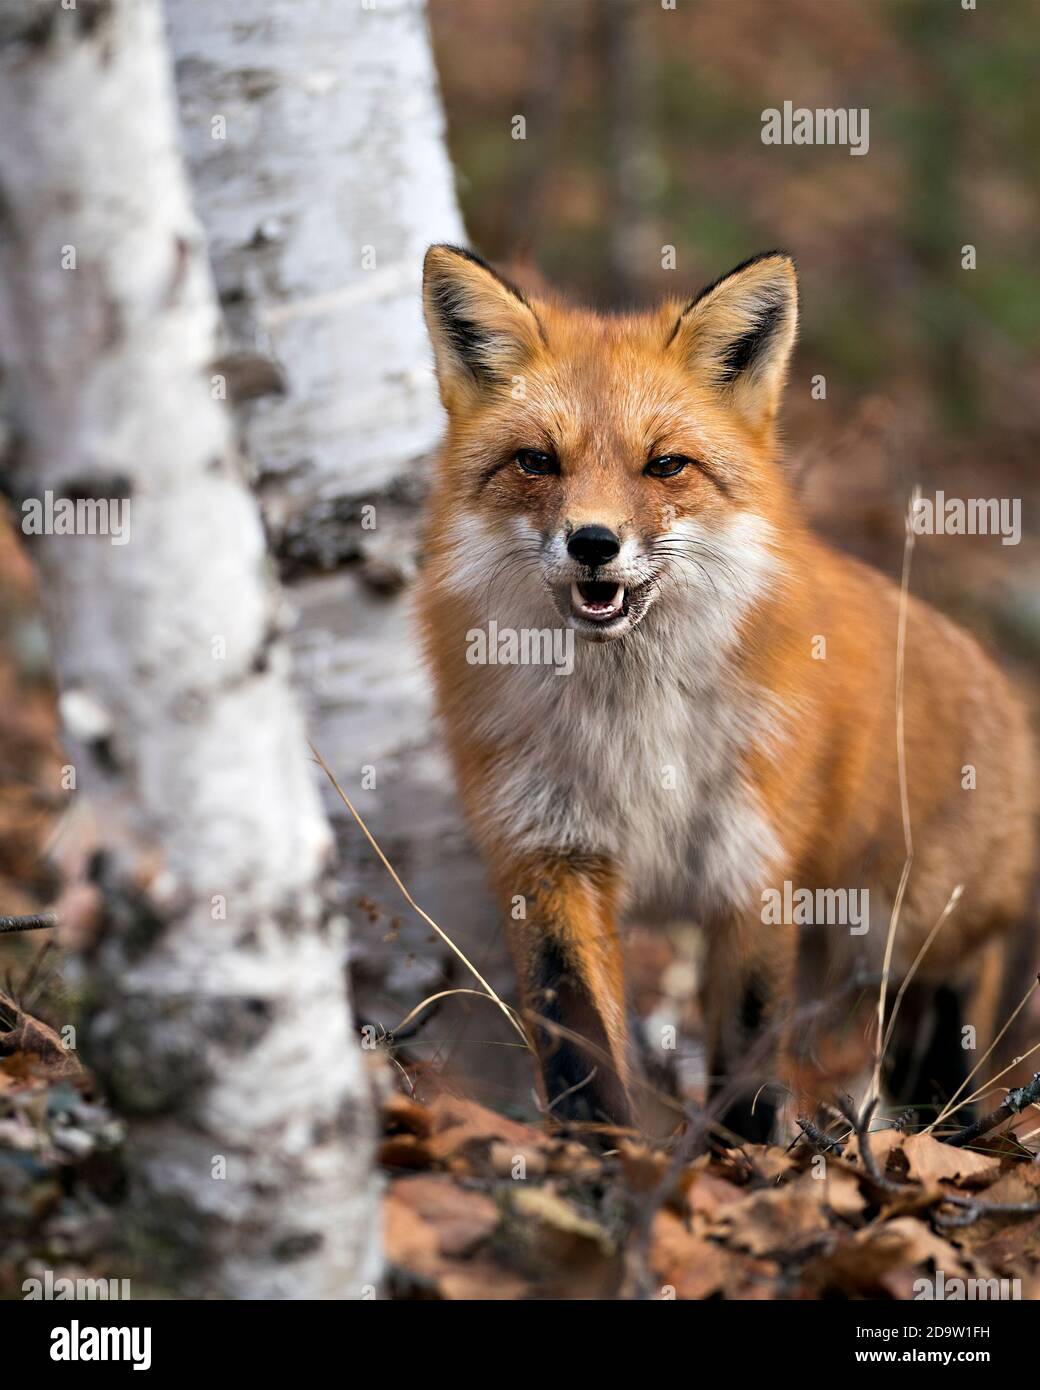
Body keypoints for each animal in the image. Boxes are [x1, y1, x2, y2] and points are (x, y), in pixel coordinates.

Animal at [416, 243, 1037, 1142]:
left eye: (665, 463)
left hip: (908, 927)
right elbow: (576, 1037)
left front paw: (741, 1160)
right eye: (537, 461)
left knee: (952, 998)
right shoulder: (548, 853)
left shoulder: (751, 863)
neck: (628, 722)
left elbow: (745, 1054)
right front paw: (599, 1156)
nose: (593, 542)